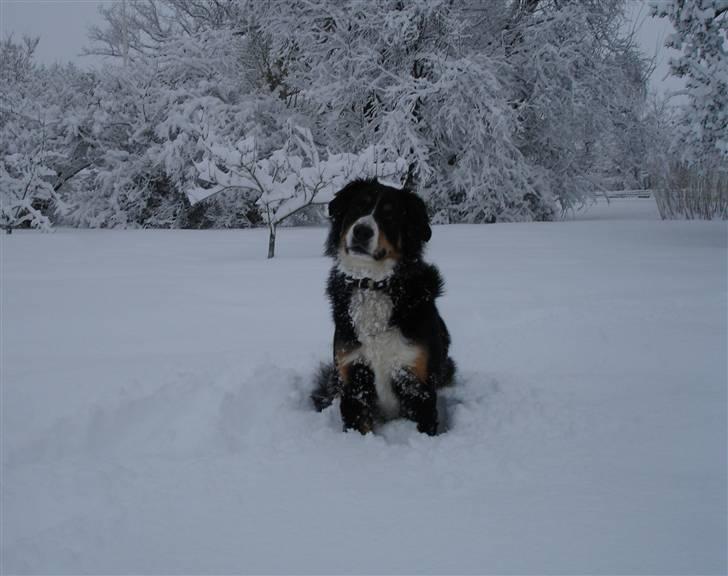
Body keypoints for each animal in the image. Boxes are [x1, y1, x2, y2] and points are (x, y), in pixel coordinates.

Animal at [312, 178, 456, 434]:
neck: (373, 286)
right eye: (358, 207)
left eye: (390, 216)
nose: (362, 231)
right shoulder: (352, 376)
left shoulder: (418, 381)